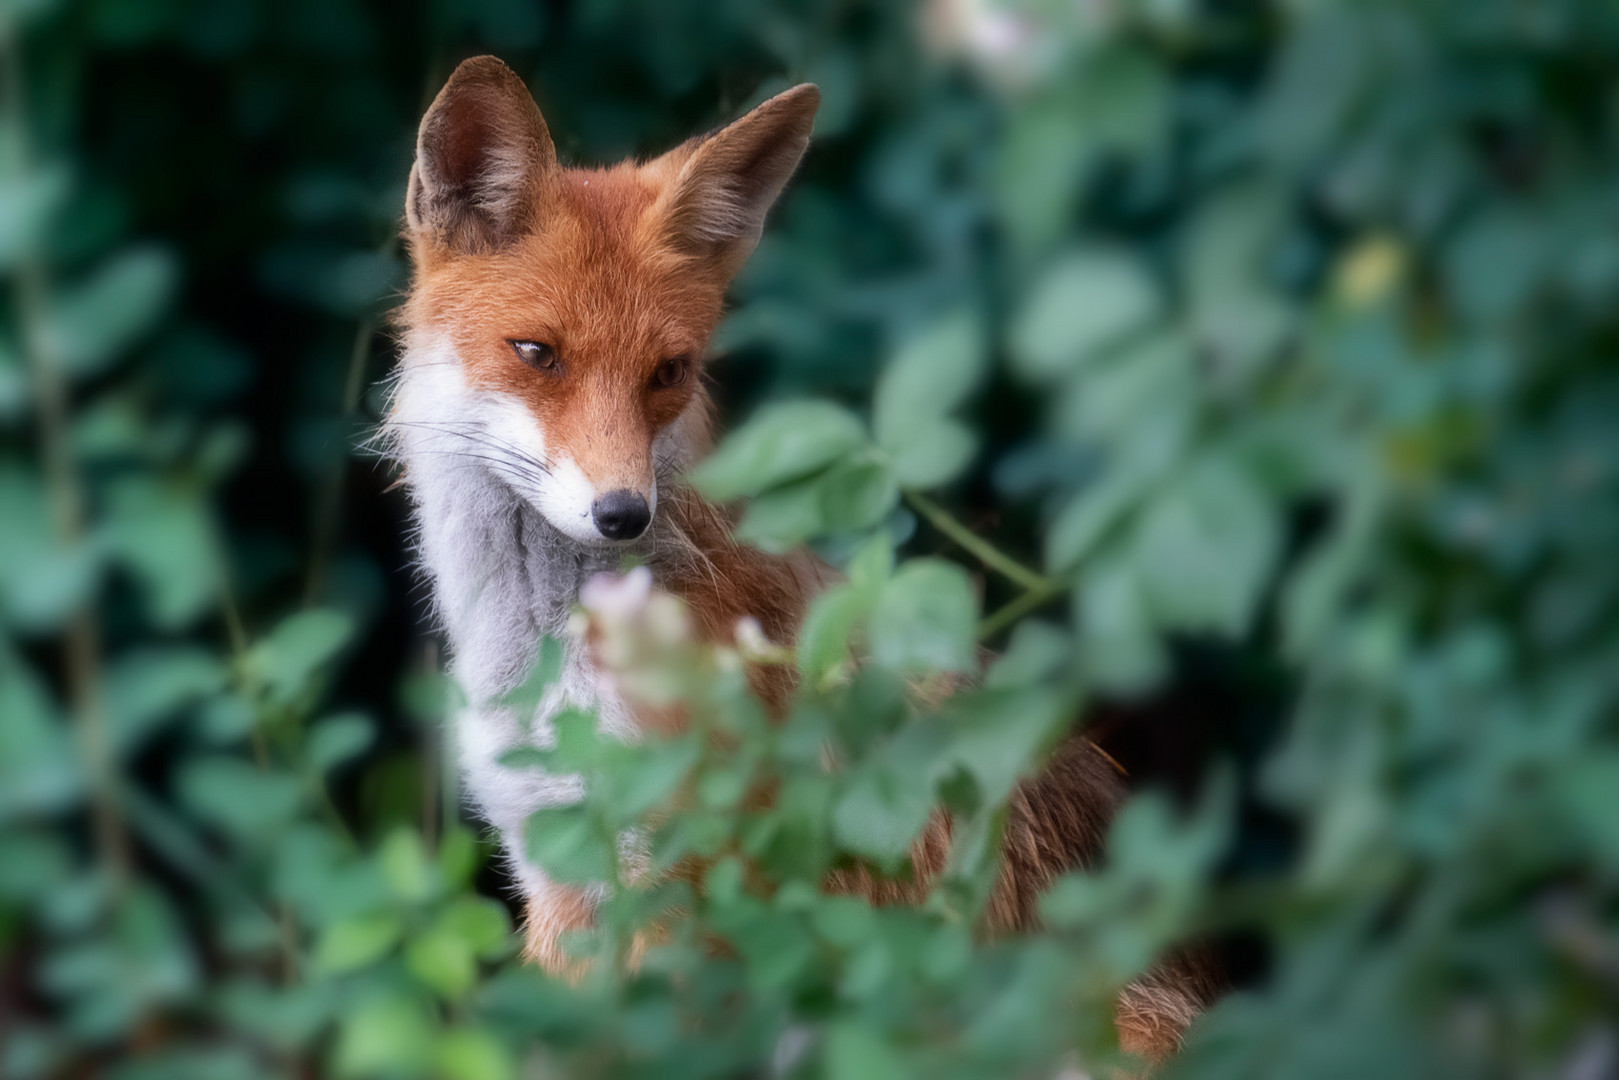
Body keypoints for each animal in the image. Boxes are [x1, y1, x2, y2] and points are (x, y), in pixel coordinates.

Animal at [382, 57, 1217, 1062]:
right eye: (536, 353)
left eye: (668, 372)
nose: (622, 515)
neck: (550, 664)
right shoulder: (560, 871)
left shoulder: (685, 883)